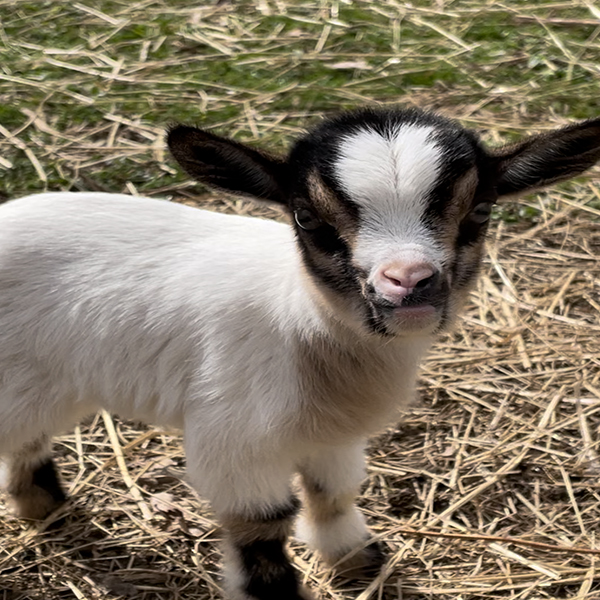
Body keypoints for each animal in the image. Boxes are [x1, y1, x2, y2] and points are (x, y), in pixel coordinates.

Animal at [3, 109, 600, 600]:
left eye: (480, 211)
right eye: (306, 218)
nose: (408, 281)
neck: (302, 323)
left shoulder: (332, 433)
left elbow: (333, 493)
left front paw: (355, 558)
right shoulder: (234, 439)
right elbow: (263, 529)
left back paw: (44, 508)